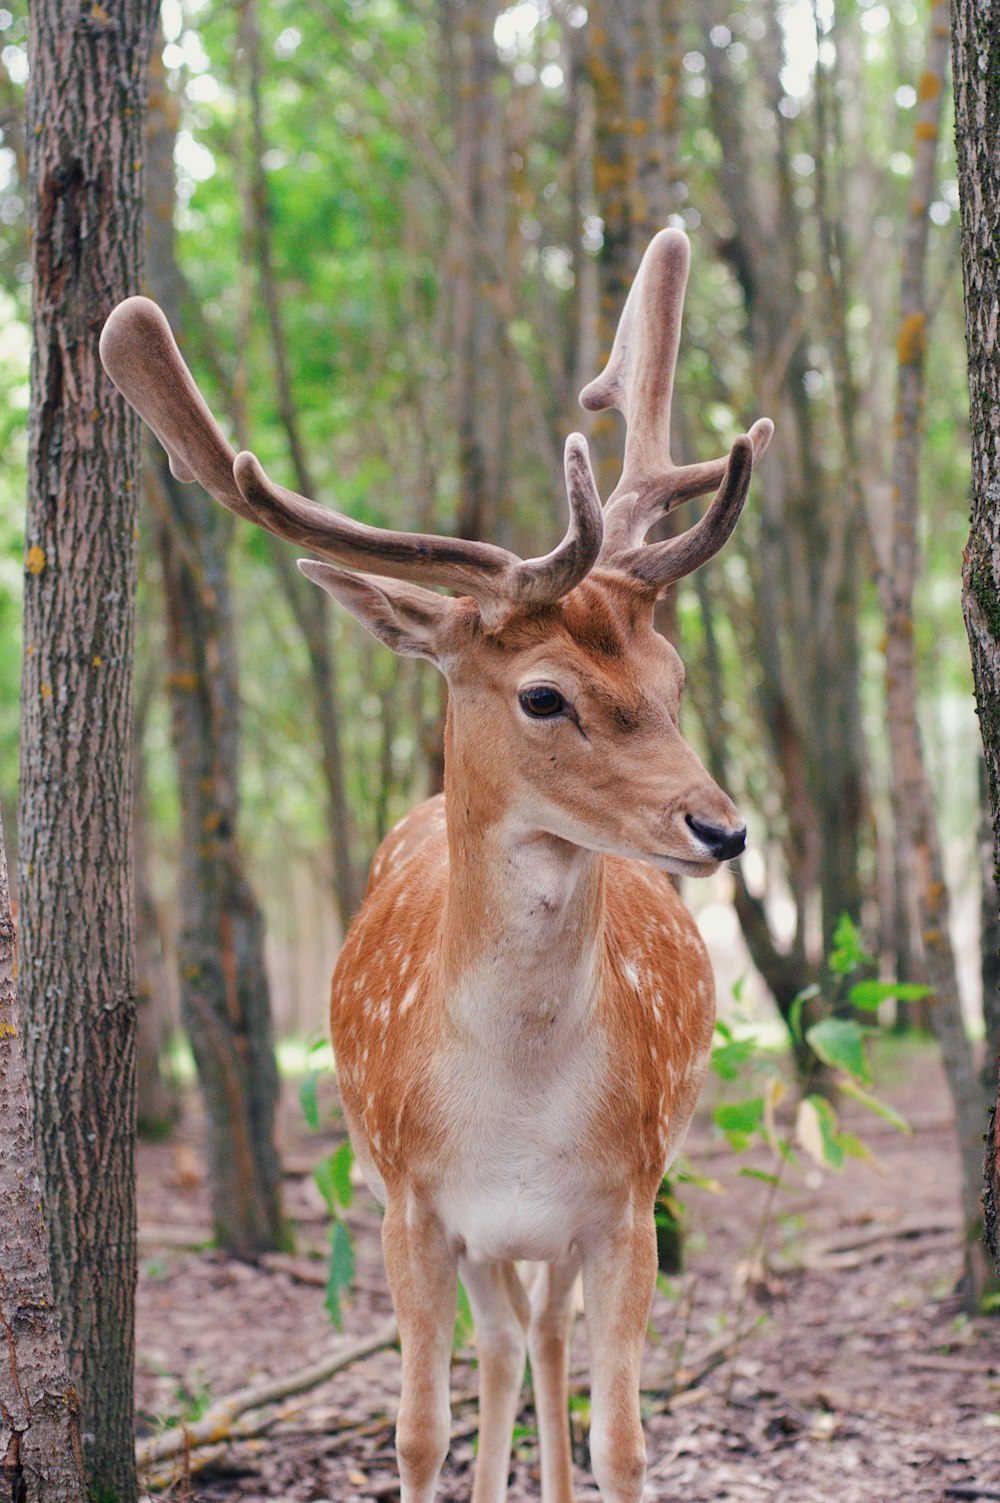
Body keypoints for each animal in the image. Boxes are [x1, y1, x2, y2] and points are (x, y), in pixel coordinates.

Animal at [101, 225, 766, 1503]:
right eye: (544, 695)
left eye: (671, 681)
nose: (721, 828)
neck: (512, 1113)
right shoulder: (408, 1202)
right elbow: (415, 1427)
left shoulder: (627, 1199)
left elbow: (623, 1439)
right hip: (455, 1225)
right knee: (506, 1344)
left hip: (563, 1229)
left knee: (540, 1338)